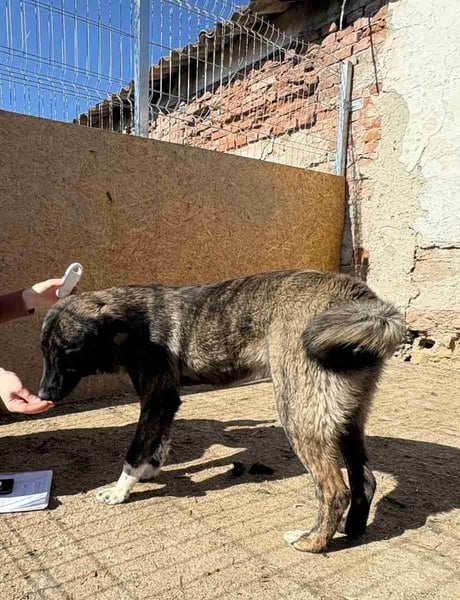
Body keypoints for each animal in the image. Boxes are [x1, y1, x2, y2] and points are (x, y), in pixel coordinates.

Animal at [39, 269, 404, 553]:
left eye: (68, 351)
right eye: (44, 352)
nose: (42, 394)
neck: (133, 323)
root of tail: (361, 300)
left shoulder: (157, 397)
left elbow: (136, 448)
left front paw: (119, 490)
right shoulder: (166, 400)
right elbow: (157, 442)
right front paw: (149, 471)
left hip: (297, 412)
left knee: (335, 490)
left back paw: (311, 542)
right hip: (347, 418)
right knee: (365, 480)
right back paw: (351, 531)